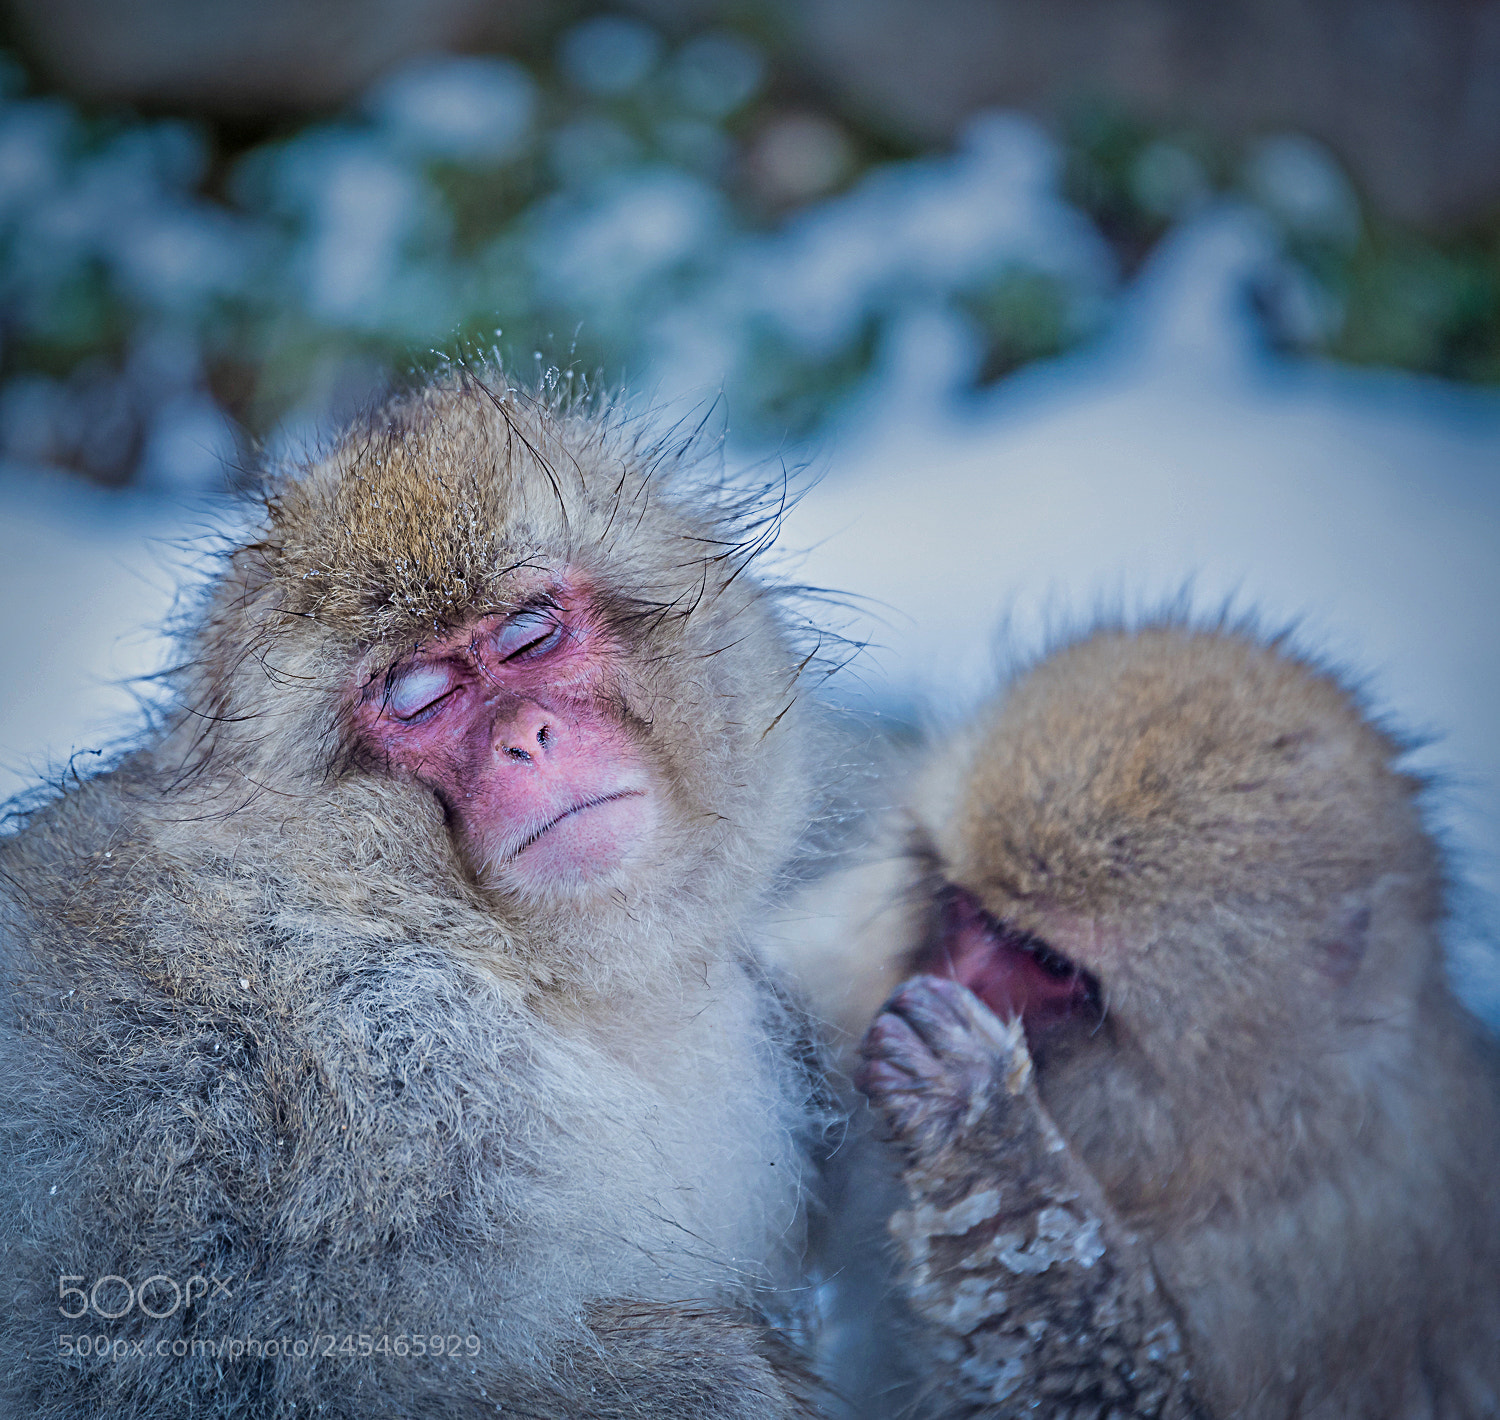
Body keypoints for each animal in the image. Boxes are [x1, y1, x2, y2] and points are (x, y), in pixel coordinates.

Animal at [787, 623, 1500, 1418]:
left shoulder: (1328, 1246)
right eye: (966, 909)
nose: (942, 978)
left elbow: (1126, 1393)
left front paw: (976, 1114)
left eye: (1047, 961)